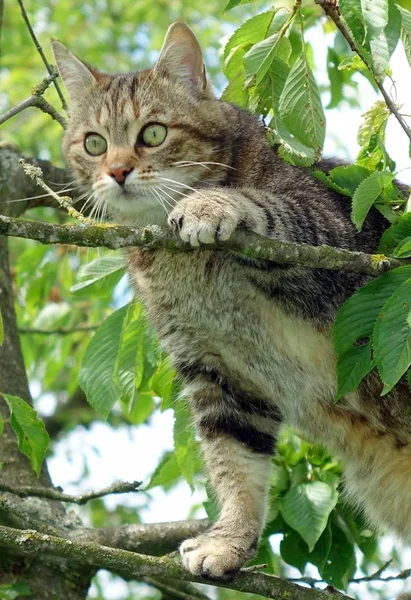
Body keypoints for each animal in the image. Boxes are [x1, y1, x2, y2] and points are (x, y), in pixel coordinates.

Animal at [51, 23, 411, 580]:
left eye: (152, 134)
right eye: (93, 143)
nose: (117, 171)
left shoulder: (338, 239)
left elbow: (267, 204)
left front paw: (209, 205)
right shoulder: (218, 373)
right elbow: (234, 466)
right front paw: (229, 540)